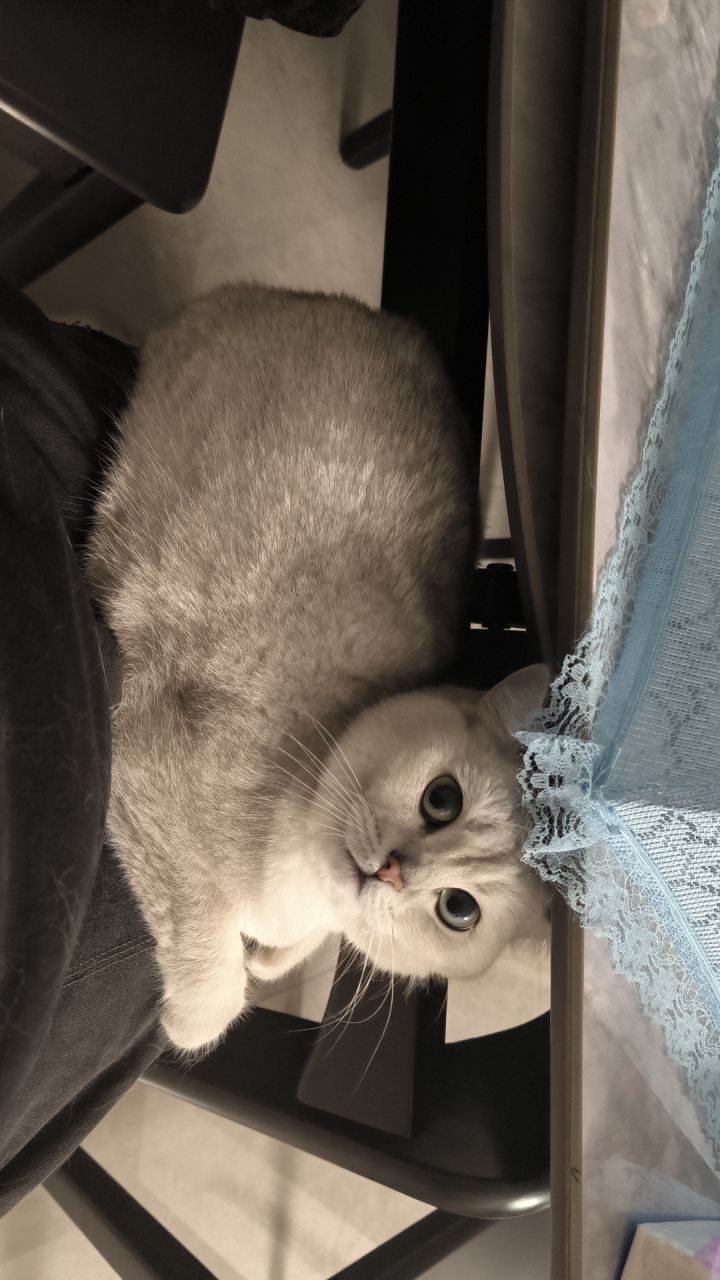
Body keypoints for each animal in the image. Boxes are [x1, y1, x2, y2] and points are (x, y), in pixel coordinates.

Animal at [87, 283, 550, 1052]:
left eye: (458, 910)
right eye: (442, 798)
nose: (391, 872)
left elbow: (290, 949)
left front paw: (270, 958)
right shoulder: (141, 758)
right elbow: (214, 965)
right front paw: (191, 1022)